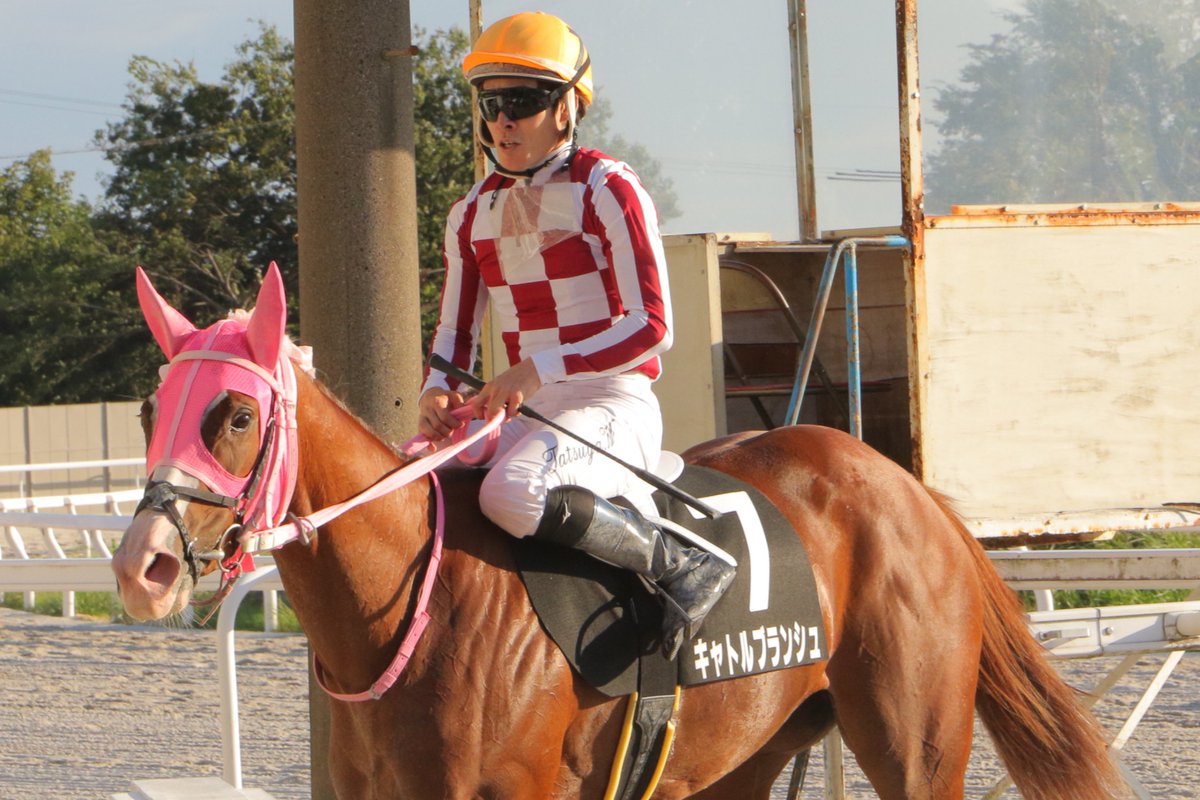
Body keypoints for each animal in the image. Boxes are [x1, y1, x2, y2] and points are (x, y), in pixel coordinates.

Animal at [112, 264, 1124, 800]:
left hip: (916, 744)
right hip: (742, 757)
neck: (416, 606)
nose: (141, 566)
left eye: (237, 415)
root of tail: (908, 488)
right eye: (150, 409)